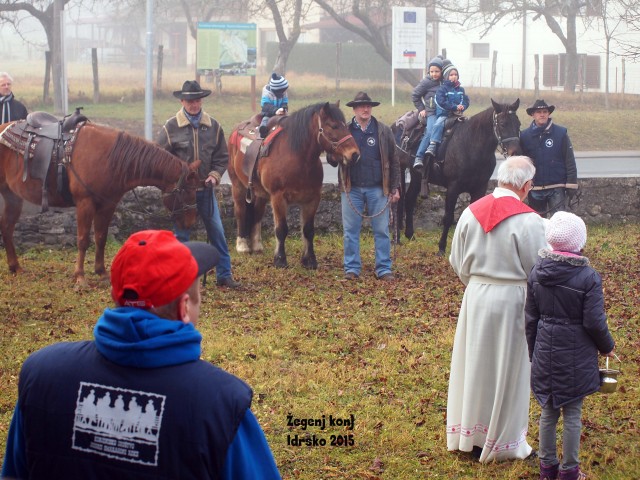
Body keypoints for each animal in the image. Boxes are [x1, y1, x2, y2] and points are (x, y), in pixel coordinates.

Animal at [0, 121, 200, 284]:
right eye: (187, 191)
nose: (190, 222)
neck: (111, 158)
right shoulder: (85, 204)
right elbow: (83, 240)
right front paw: (80, 277)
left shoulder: (108, 205)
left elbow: (101, 237)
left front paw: (101, 272)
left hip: (13, 197)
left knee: (7, 228)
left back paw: (15, 266)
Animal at [229, 101, 360, 268]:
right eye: (334, 126)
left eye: (345, 125)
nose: (354, 154)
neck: (297, 157)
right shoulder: (278, 198)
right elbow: (281, 229)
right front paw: (280, 259)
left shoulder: (312, 199)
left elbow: (308, 230)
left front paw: (309, 260)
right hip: (238, 185)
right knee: (240, 211)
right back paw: (243, 245)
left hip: (260, 193)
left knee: (257, 213)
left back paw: (257, 245)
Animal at [392, 97, 524, 255]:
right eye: (503, 124)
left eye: (518, 124)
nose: (516, 153)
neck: (470, 146)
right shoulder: (453, 187)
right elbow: (448, 217)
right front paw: (441, 248)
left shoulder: (480, 188)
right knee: (399, 202)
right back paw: (397, 239)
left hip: (416, 177)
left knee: (409, 200)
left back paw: (410, 235)